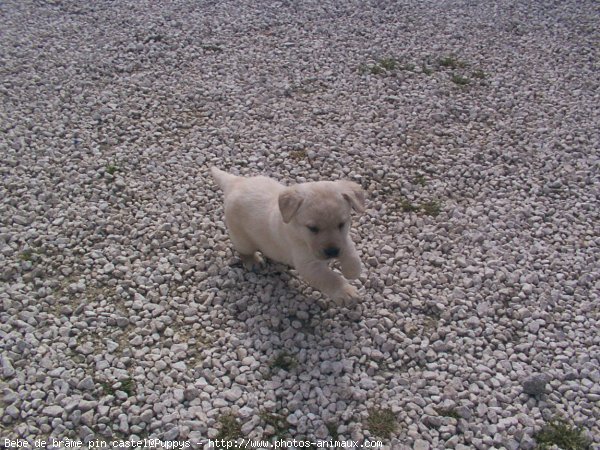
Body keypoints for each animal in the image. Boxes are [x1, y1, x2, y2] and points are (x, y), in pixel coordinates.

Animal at [210, 167, 366, 308]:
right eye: (313, 228)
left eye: (341, 224)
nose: (332, 252)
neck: (300, 234)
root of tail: (235, 182)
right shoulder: (308, 265)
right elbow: (330, 278)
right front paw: (346, 292)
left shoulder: (344, 239)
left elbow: (351, 253)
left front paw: (352, 271)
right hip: (241, 236)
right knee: (244, 251)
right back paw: (253, 261)